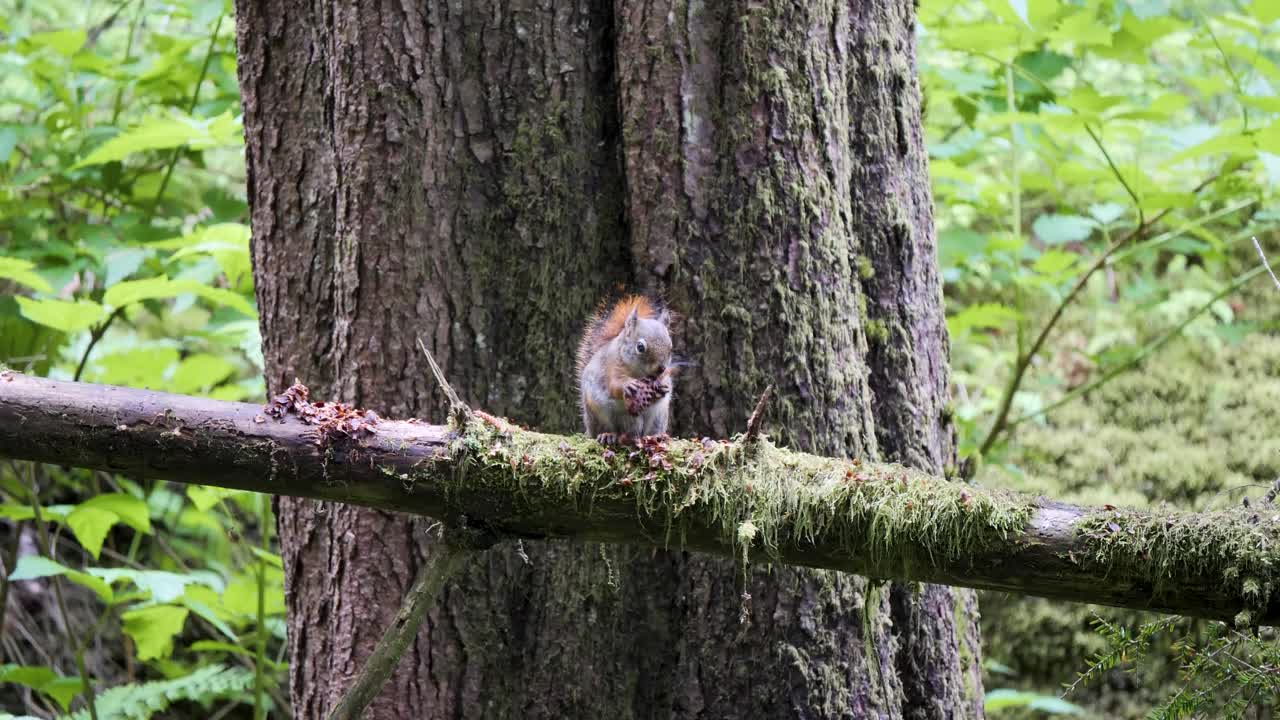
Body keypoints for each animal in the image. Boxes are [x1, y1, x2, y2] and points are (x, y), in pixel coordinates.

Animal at [576, 295, 679, 444]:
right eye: (640, 347)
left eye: (671, 348)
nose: (661, 368)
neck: (640, 374)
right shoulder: (612, 367)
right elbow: (614, 385)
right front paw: (628, 385)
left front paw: (663, 387)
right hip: (599, 413)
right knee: (606, 429)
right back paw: (607, 435)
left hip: (658, 417)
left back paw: (657, 436)